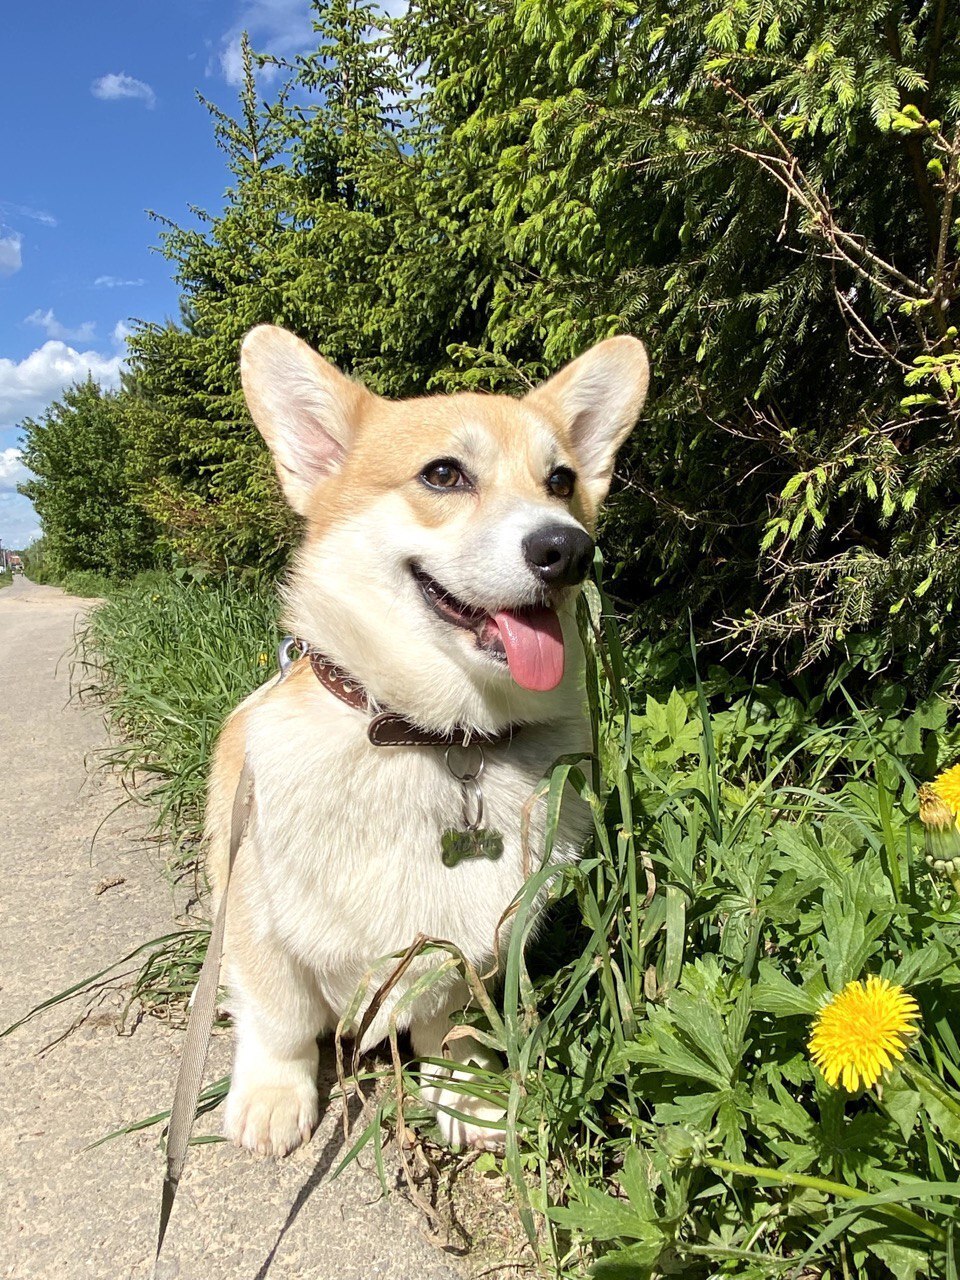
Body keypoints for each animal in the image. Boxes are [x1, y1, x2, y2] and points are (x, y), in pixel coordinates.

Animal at [207, 325, 650, 1157]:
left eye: (562, 480)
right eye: (443, 474)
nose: (568, 550)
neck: (436, 735)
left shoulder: (473, 947)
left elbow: (452, 1024)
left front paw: (467, 1095)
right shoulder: (259, 920)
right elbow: (280, 1016)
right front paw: (274, 1096)